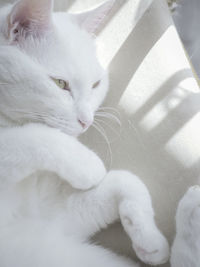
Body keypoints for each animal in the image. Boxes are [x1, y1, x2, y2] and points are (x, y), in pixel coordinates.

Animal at [0, 0, 170, 267]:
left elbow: (126, 180)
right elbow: (28, 136)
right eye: (60, 84)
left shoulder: (48, 216)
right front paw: (88, 166)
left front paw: (149, 238)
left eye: (95, 85)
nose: (87, 121)